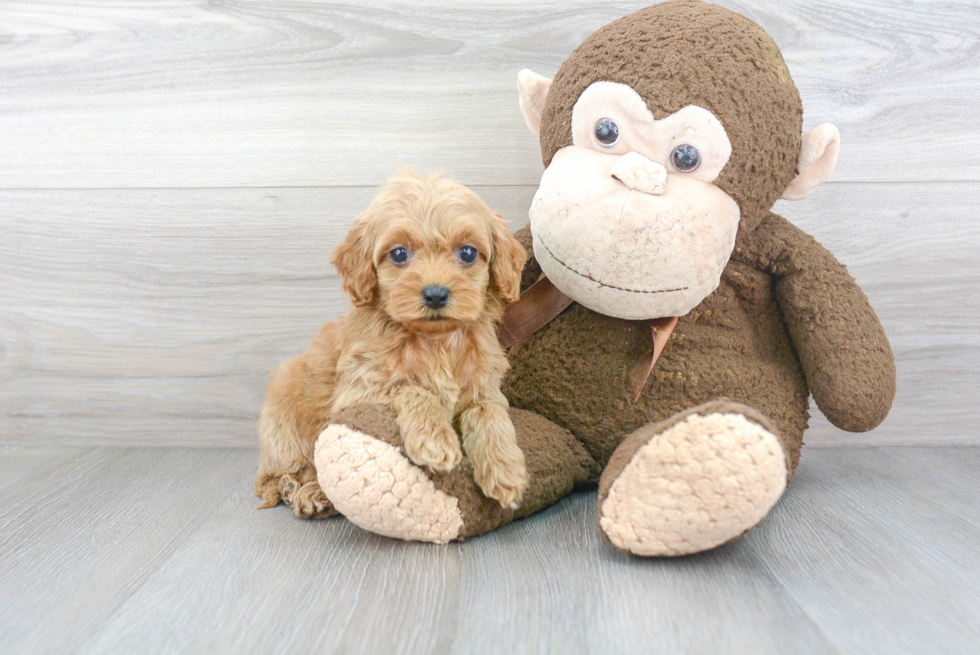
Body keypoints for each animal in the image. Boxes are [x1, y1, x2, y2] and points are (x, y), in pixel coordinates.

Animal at [253, 172, 528, 520]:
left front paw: (506, 469)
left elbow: (489, 413)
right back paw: (304, 490)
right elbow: (412, 387)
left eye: (467, 253)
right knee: (276, 475)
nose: (435, 294)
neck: (436, 341)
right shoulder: (359, 390)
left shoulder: (485, 388)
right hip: (283, 423)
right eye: (399, 254)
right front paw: (435, 441)